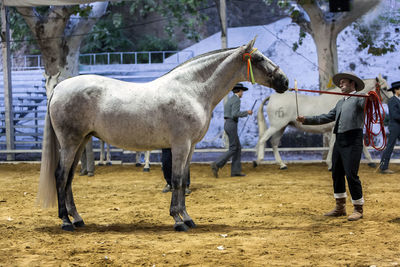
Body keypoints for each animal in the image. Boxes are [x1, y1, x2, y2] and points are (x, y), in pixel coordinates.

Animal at [36, 38, 288, 232]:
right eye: (258, 59)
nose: (284, 81)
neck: (191, 90)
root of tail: (59, 88)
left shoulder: (190, 147)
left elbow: (183, 179)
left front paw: (187, 217)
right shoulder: (180, 145)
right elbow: (175, 180)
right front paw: (177, 220)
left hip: (81, 141)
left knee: (69, 177)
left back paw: (78, 219)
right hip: (70, 142)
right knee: (60, 175)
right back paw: (66, 222)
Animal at [253, 76, 390, 171]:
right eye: (385, 88)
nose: (393, 98)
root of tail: (272, 97)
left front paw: (371, 162)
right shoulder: (336, 127)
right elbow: (333, 145)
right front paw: (330, 165)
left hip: (281, 127)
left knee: (274, 143)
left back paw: (282, 165)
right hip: (277, 126)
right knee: (264, 139)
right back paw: (258, 160)